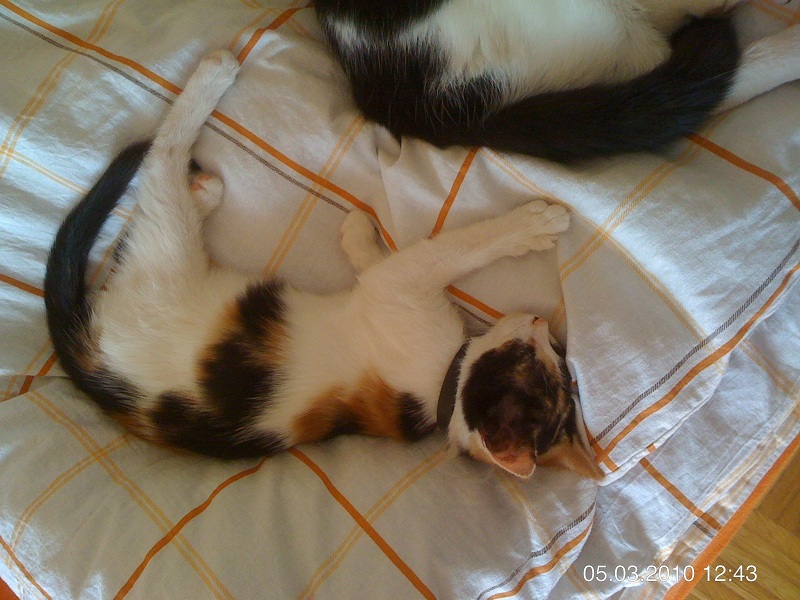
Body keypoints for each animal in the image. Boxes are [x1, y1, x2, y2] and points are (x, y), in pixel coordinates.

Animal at [44, 50, 602, 480]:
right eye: (543, 359)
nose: (542, 325)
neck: (443, 386)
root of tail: (91, 363)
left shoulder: (396, 286)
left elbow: (445, 249)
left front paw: (532, 224)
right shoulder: (389, 287)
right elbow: (403, 256)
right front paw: (358, 233)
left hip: (165, 250)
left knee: (160, 163)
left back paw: (210, 105)